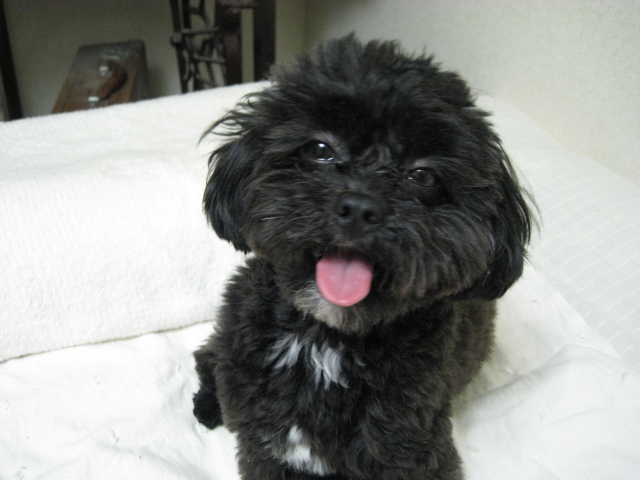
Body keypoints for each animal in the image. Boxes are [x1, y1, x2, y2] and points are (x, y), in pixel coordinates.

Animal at [193, 35, 532, 480]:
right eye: (319, 148)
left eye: (423, 175)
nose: (359, 207)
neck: (326, 344)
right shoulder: (264, 443)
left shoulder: (412, 449)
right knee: (207, 356)